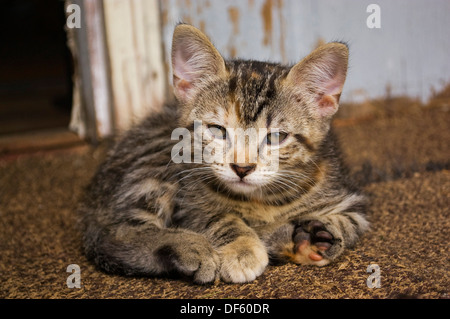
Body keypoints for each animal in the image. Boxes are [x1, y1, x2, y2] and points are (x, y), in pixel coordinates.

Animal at [80, 25, 370, 284]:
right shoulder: (190, 205)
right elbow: (221, 217)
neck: (261, 201)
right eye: (217, 131)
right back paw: (193, 248)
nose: (242, 168)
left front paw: (314, 236)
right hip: (156, 160)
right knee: (115, 234)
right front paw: (243, 248)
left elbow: (348, 224)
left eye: (276, 137)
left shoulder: (350, 200)